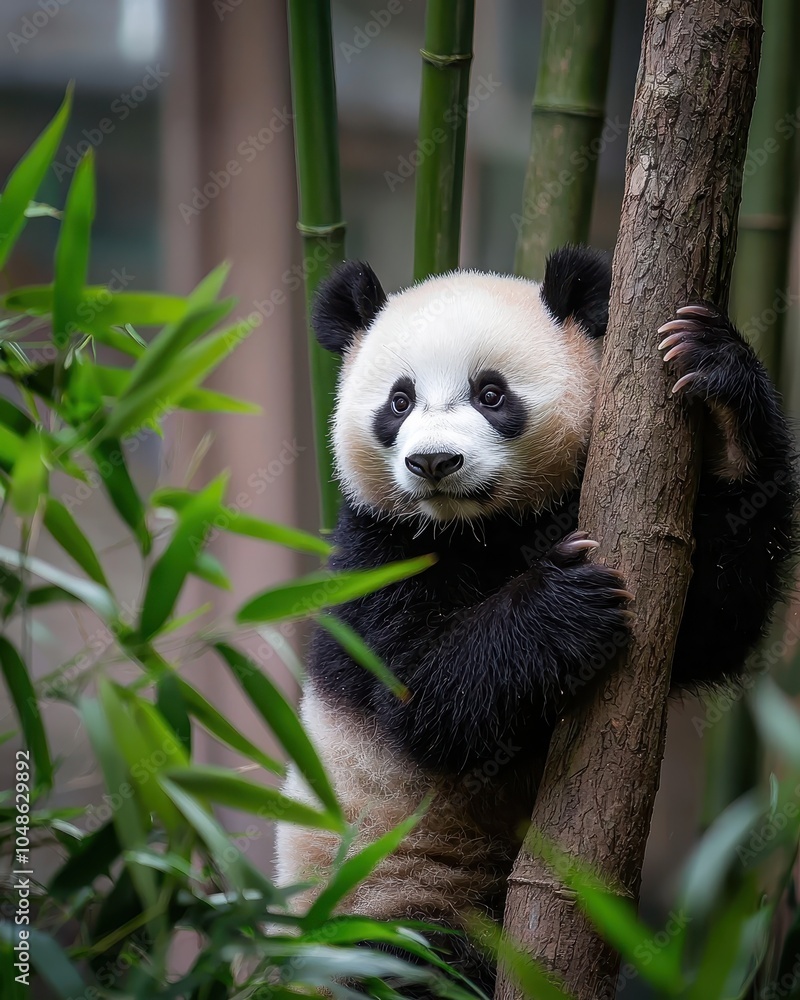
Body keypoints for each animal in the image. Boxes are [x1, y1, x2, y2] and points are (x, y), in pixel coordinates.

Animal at [276, 245, 797, 994]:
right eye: (399, 401)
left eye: (491, 394)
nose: (434, 461)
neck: (478, 528)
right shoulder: (377, 557)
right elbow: (424, 698)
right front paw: (563, 601)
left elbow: (714, 619)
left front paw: (715, 375)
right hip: (384, 906)